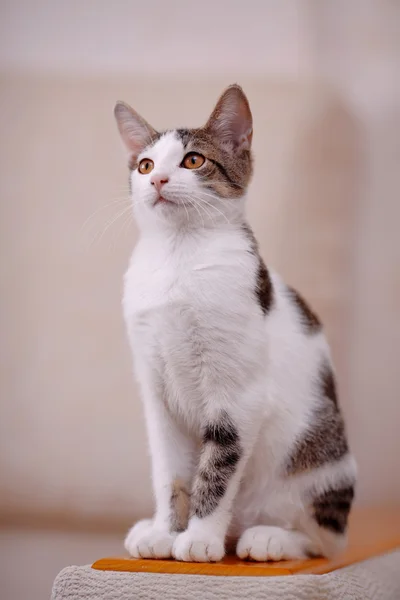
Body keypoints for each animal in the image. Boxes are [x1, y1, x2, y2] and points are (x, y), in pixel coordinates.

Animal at [113, 84, 356, 564]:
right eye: (145, 164)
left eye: (193, 160)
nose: (157, 180)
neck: (178, 254)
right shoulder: (155, 390)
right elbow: (170, 471)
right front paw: (166, 531)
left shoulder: (237, 396)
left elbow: (219, 465)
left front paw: (199, 538)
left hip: (321, 462)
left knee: (325, 542)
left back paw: (268, 538)